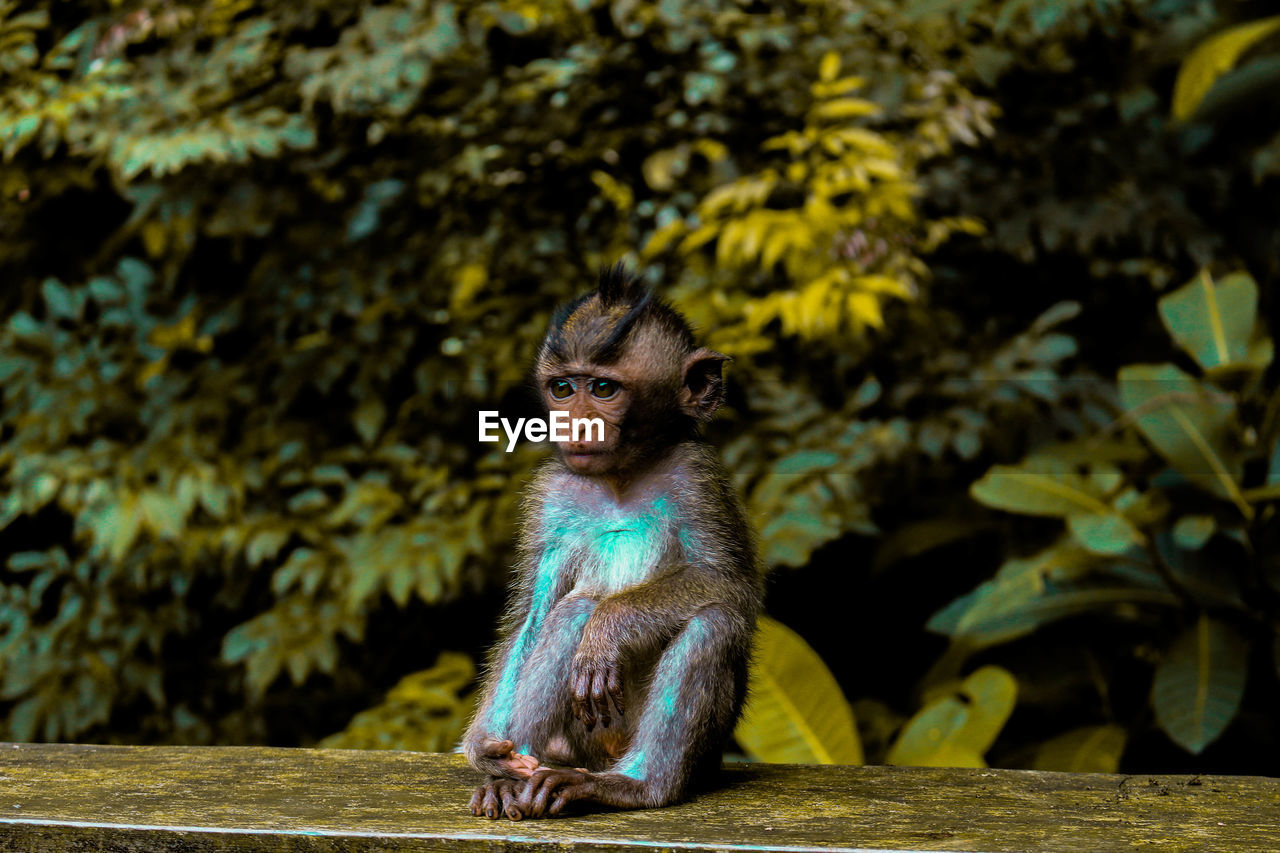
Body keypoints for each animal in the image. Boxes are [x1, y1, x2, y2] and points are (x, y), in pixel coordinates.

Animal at [463, 263, 752, 819]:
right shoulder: (550, 497)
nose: (575, 423)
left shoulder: (697, 477)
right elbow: (533, 610)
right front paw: (481, 748)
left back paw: (637, 784)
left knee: (714, 622)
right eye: (561, 388)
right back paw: (512, 775)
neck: (621, 476)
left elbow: (726, 583)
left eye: (601, 388)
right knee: (569, 611)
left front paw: (610, 627)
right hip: (575, 740)